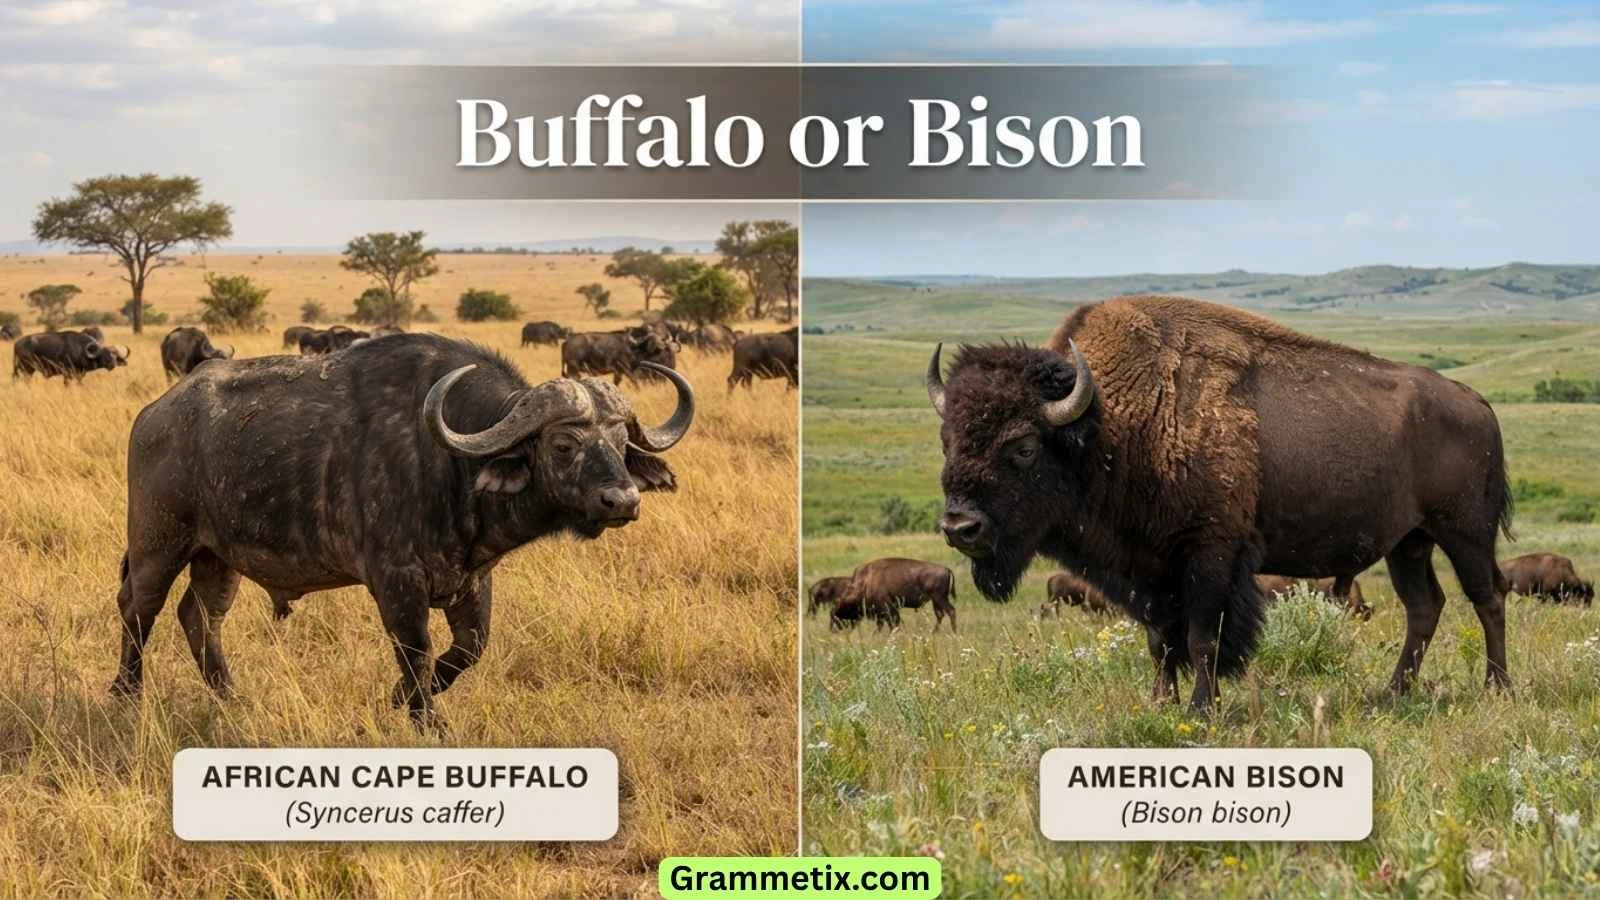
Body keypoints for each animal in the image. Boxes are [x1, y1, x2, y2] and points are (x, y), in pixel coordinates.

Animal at [110, 333, 695, 727]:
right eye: (564, 445)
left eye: (620, 443)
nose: (622, 501)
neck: (452, 468)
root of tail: (155, 414)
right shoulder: (396, 582)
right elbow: (415, 652)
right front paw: (424, 715)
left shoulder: (472, 578)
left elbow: (468, 651)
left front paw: (398, 698)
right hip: (158, 544)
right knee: (139, 608)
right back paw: (126, 694)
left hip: (220, 556)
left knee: (200, 617)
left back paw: (230, 695)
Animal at [927, 295, 1512, 709]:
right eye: (946, 439)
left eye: (1023, 446)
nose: (959, 527)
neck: (1107, 427)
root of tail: (1478, 404)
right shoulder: (1149, 569)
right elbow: (1160, 640)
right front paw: (1162, 704)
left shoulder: (1210, 554)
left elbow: (1203, 637)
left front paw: (1202, 709)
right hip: (1408, 542)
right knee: (1424, 605)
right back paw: (1393, 693)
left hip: (1464, 532)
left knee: (1487, 597)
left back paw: (1497, 688)